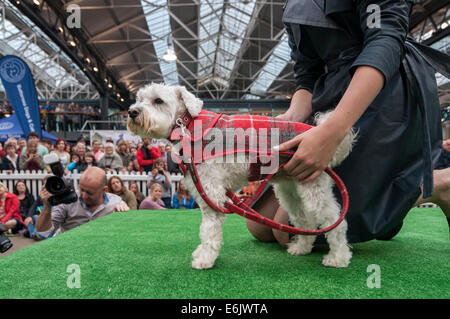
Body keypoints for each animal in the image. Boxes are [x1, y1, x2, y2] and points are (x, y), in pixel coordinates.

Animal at [127, 84, 356, 268]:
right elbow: (205, 231)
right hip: (290, 189)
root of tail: (314, 132)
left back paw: (338, 258)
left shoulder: (212, 195)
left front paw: (204, 260)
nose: (131, 111)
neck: (189, 126)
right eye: (139, 98)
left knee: (336, 221)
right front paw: (202, 254)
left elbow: (209, 231)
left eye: (158, 100)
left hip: (313, 187)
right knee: (305, 219)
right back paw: (301, 248)